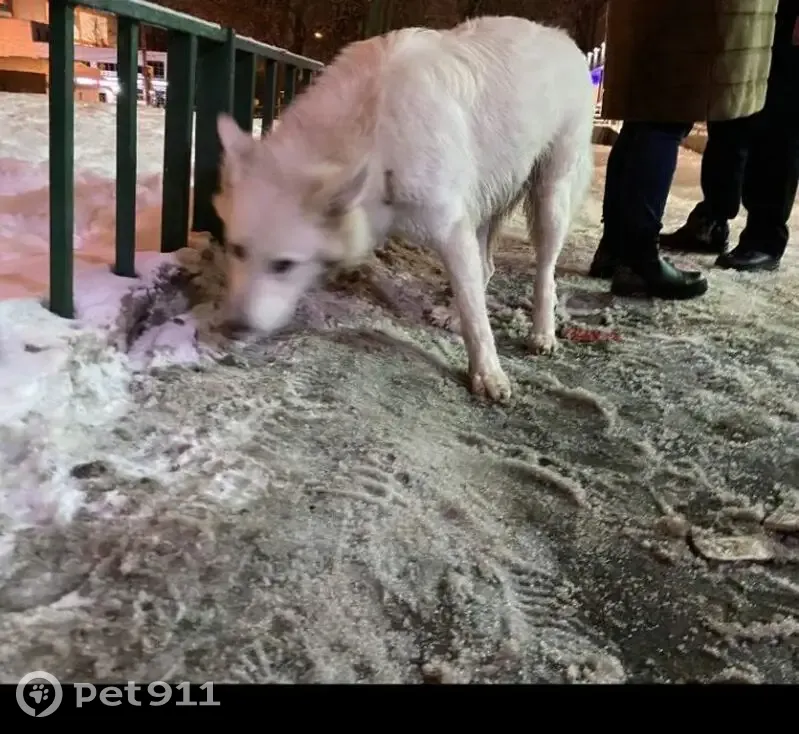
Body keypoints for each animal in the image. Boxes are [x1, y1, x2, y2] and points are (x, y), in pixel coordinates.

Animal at [213, 15, 594, 402]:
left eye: (284, 265)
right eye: (237, 251)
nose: (232, 328)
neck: (376, 130)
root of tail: (561, 36)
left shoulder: (451, 230)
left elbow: (475, 314)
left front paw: (487, 373)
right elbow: (471, 294)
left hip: (549, 200)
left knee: (545, 272)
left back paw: (542, 332)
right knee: (486, 267)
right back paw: (454, 314)